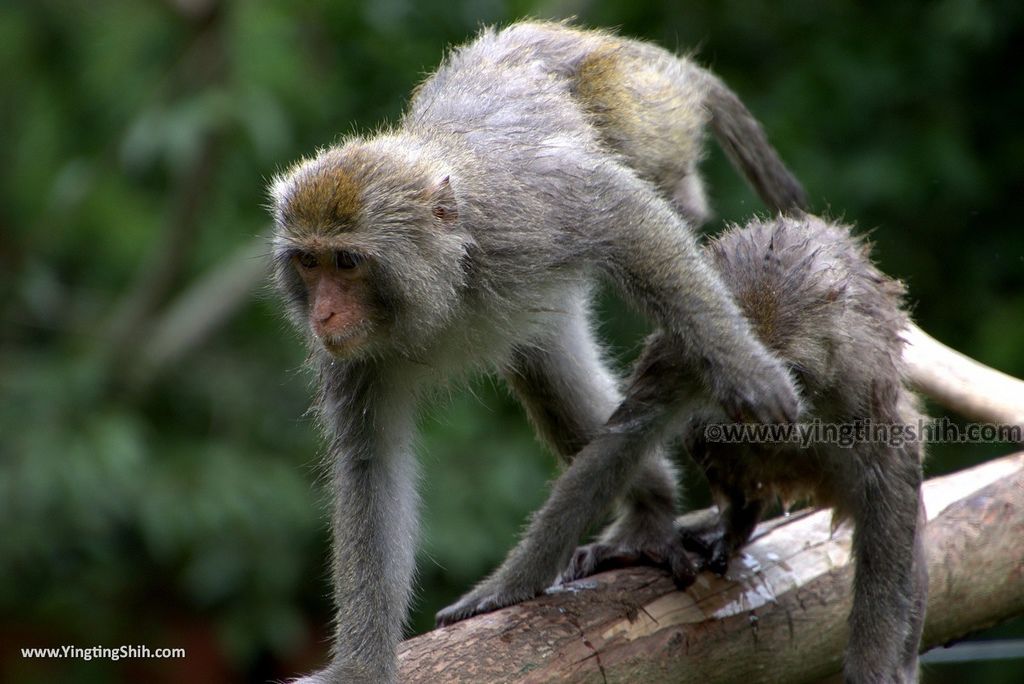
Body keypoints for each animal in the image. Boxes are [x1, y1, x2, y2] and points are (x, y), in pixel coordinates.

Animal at [270, 21, 806, 684]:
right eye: (309, 263)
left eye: (346, 261)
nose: (323, 314)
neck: (444, 287)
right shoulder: (356, 361)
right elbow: (373, 468)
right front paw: (362, 664)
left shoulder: (526, 216)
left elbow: (623, 212)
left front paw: (749, 370)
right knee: (546, 364)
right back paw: (650, 510)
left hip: (645, 108)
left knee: (662, 197)